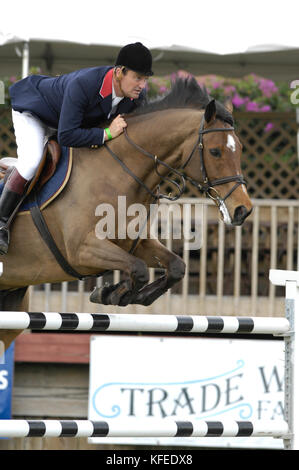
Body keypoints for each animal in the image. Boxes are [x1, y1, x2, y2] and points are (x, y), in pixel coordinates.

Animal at [0, 78, 253, 348]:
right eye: (215, 151)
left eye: (240, 148)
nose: (242, 210)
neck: (118, 171)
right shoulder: (81, 250)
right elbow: (139, 268)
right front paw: (111, 292)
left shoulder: (134, 242)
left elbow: (176, 266)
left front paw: (118, 294)